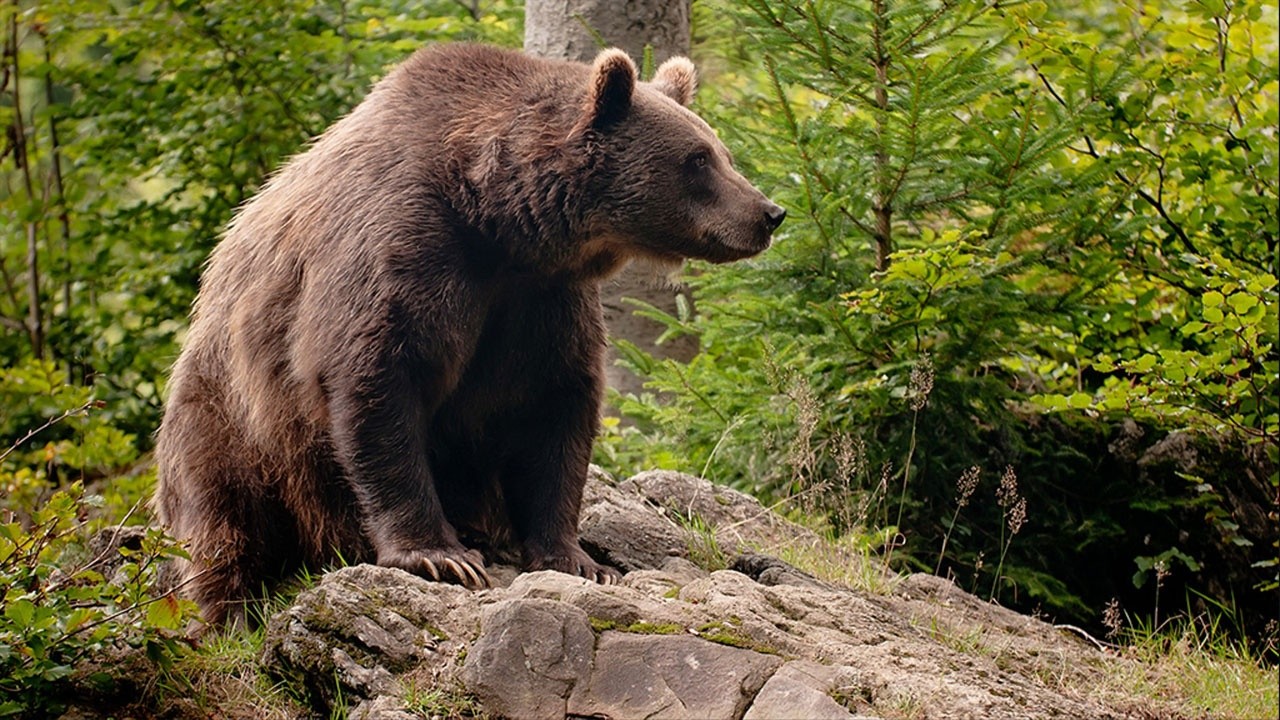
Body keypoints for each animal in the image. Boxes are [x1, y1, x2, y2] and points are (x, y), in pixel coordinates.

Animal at [154, 41, 783, 625]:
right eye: (697, 159)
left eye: (721, 151)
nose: (769, 212)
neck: (497, 221)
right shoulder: (405, 250)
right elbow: (378, 381)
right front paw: (440, 555)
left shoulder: (541, 302)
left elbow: (556, 411)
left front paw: (579, 559)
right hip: (231, 418)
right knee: (222, 519)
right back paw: (227, 611)